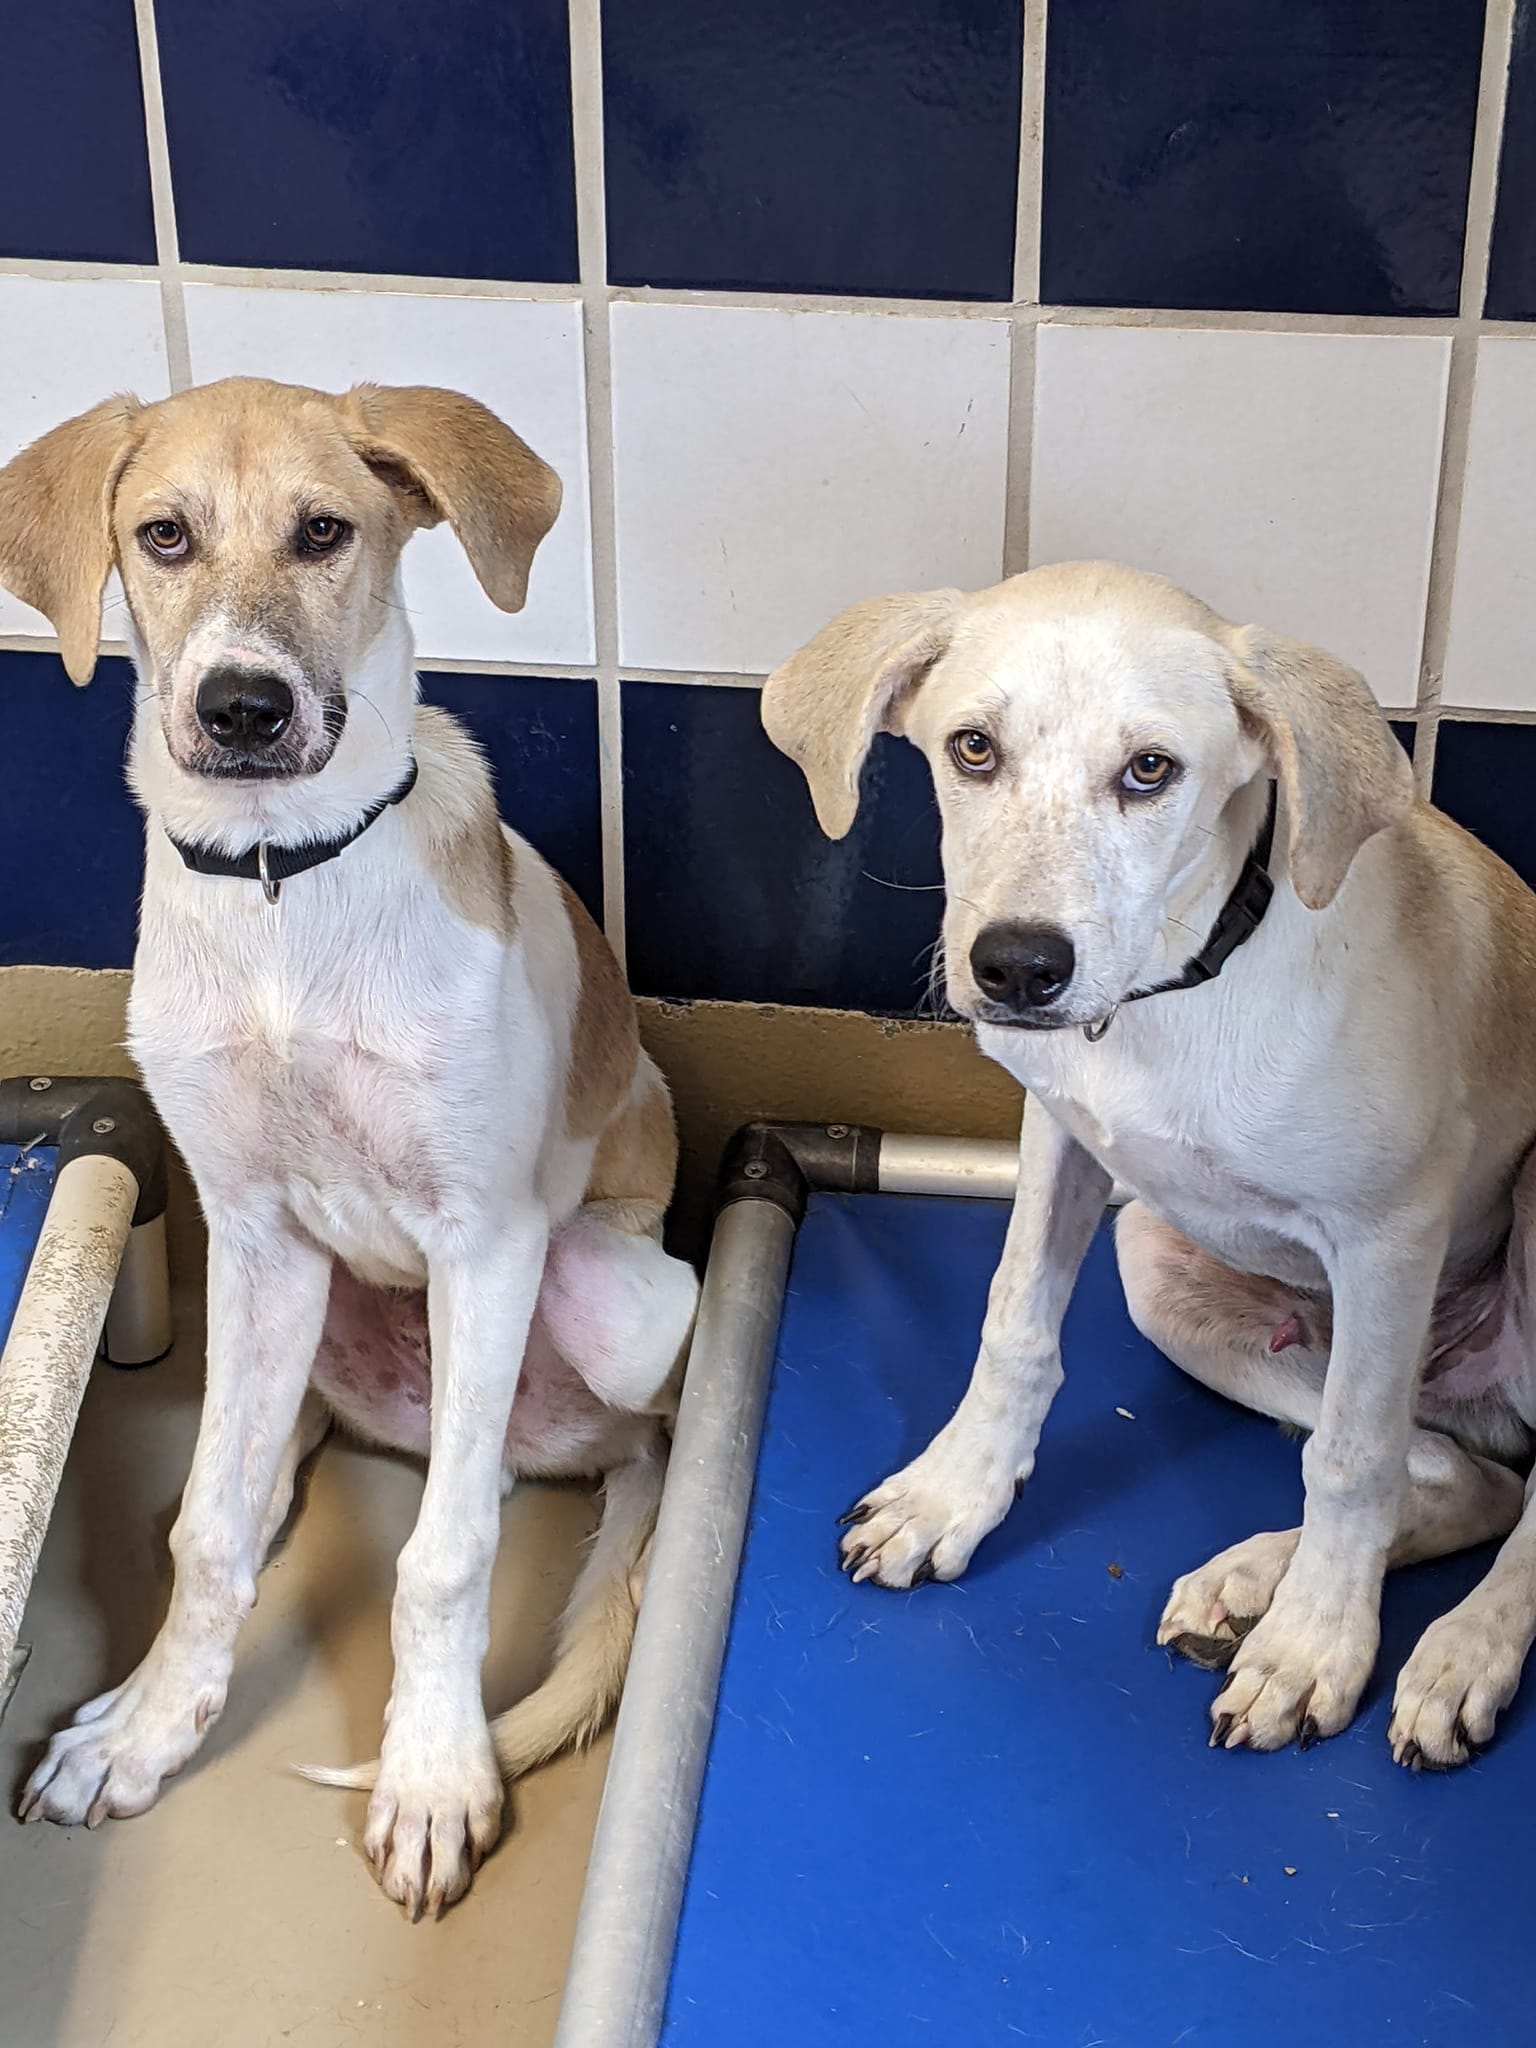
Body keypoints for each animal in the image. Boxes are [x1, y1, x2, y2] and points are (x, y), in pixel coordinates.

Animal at [0, 380, 696, 1916]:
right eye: (163, 535)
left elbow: (441, 1557)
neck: (283, 889)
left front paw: (433, 1775)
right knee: (248, 1475)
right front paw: (150, 1723)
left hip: (609, 1291)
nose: (241, 707)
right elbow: (202, 1532)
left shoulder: (483, 1241)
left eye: (325, 531)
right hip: (297, 1306)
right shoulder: (253, 1230)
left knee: (498, 1470)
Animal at [770, 565, 1536, 1777]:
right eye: (973, 748)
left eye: (1150, 770)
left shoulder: (1392, 1233)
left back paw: (1456, 1649)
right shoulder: (1063, 1136)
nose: (1019, 967)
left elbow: (1353, 1456)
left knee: (1489, 1492)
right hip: (1158, 1268)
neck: (1175, 991)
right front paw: (952, 1496)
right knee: (1476, 1478)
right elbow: (1015, 1325)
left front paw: (1315, 1647)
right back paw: (1253, 1578)